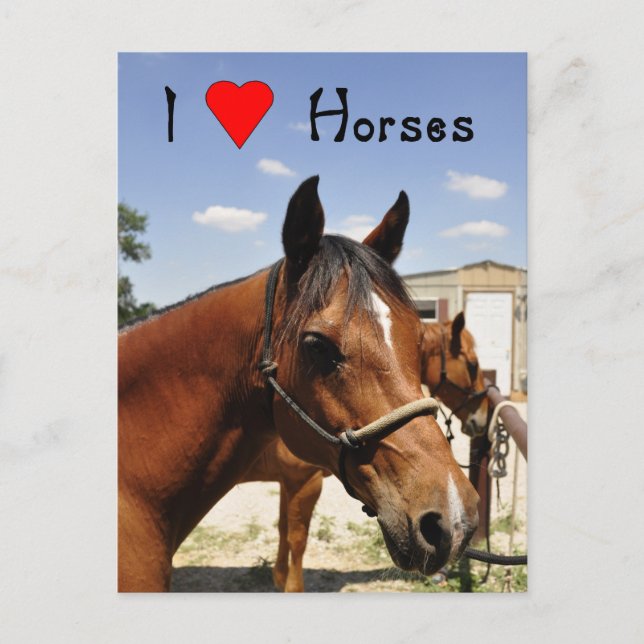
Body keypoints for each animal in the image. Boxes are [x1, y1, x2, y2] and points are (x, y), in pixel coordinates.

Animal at [242, 315, 489, 592]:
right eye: (472, 365)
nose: (483, 416)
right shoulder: (303, 481)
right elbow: (297, 538)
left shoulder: (289, 482)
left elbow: (283, 528)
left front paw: (280, 576)